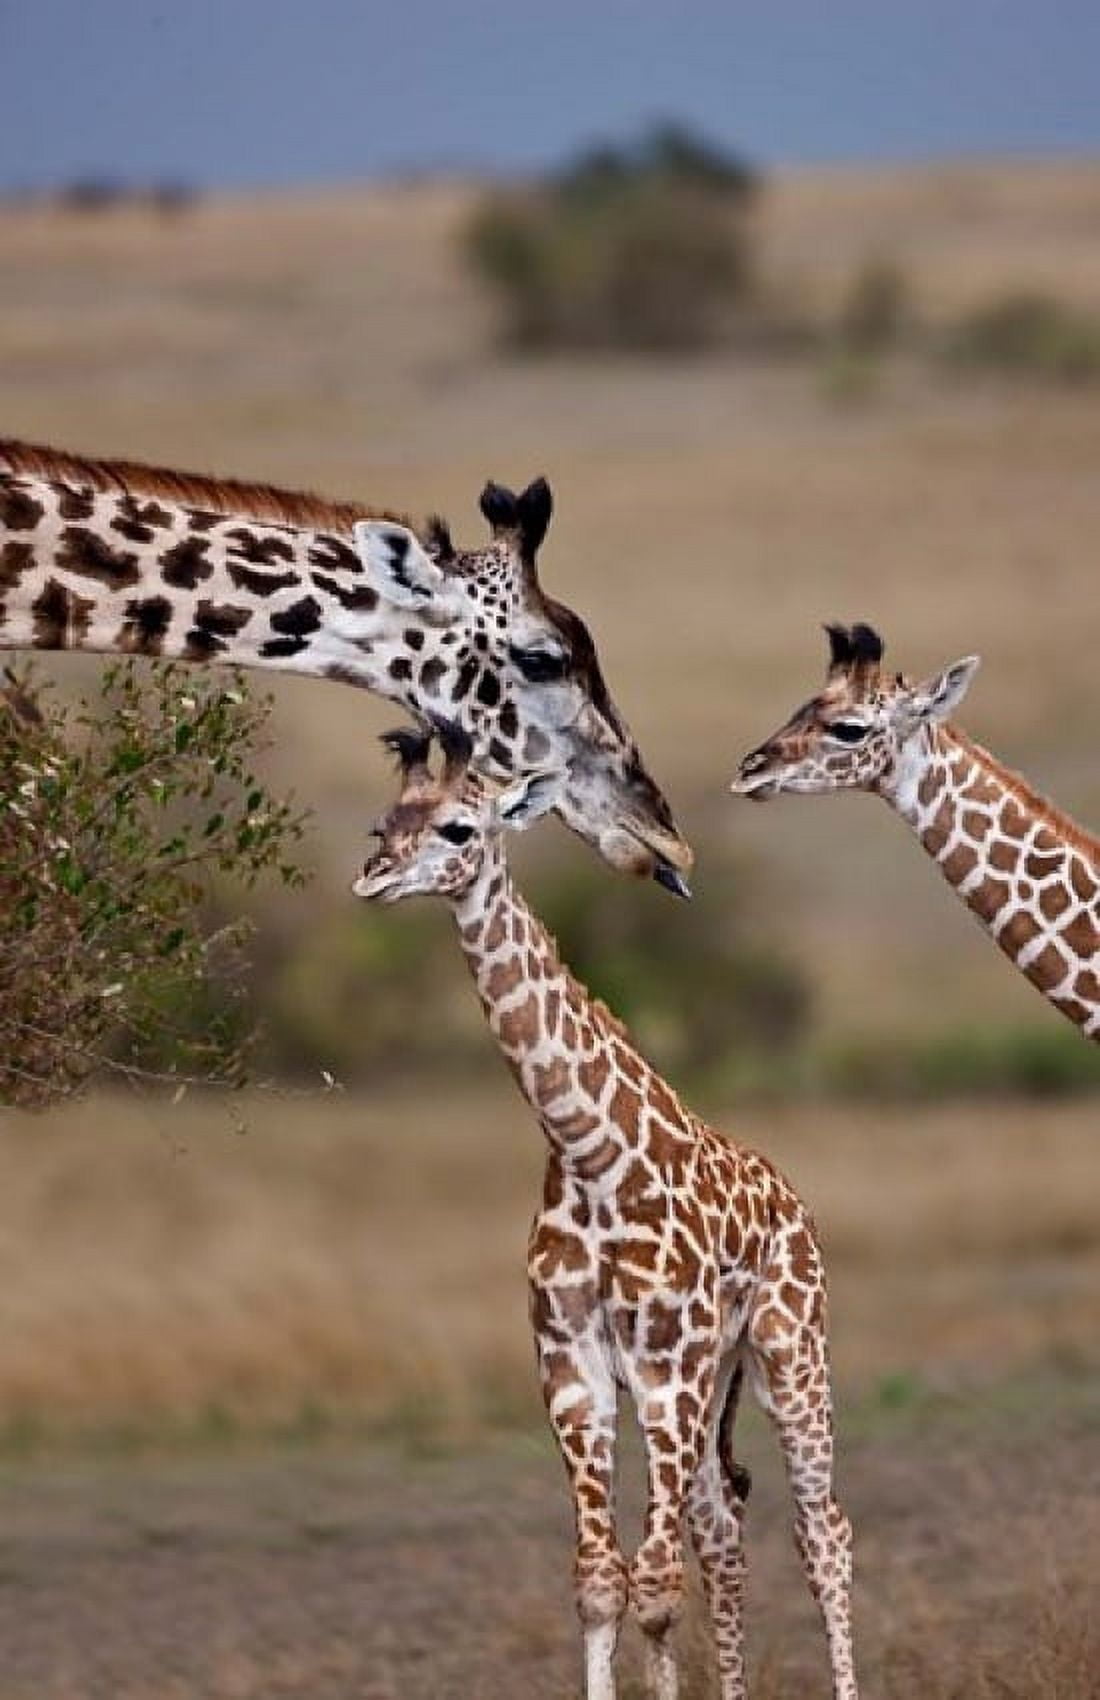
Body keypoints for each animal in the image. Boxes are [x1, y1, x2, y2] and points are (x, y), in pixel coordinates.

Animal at [354, 723, 857, 1700]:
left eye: (459, 828)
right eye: (383, 821)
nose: (372, 877)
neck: (591, 1153)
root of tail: (794, 1198)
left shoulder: (666, 1367)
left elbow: (654, 1587)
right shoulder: (572, 1364)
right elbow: (600, 1581)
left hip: (786, 1352)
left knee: (824, 1534)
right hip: (717, 1384)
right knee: (724, 1532)